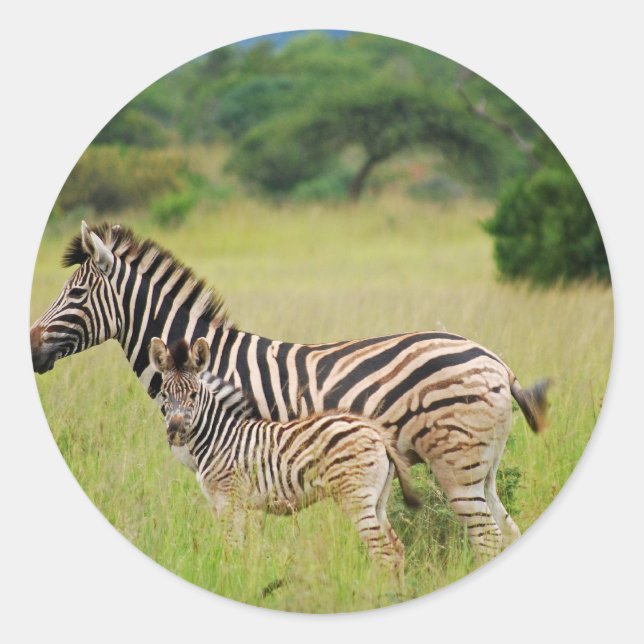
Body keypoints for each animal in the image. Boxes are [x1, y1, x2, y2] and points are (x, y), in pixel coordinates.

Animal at [150, 336, 420, 576]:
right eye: (164, 394)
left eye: (194, 395)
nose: (174, 431)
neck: (219, 436)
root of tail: (376, 433)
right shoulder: (228, 504)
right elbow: (239, 549)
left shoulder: (228, 499)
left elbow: (232, 550)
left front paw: (233, 582)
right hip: (377, 500)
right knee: (397, 549)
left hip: (356, 498)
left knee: (383, 554)